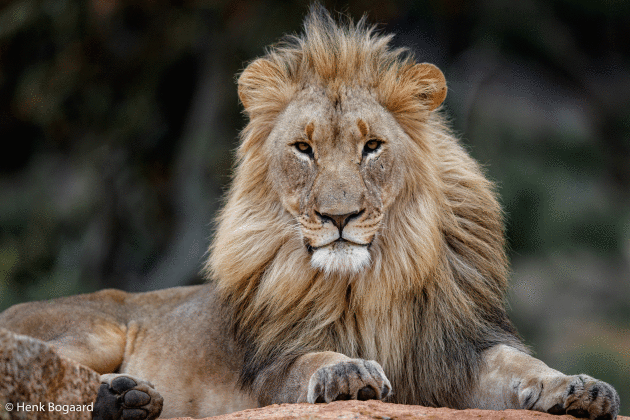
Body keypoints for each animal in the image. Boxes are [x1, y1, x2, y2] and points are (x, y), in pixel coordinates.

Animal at [0, 5, 624, 420]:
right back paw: (120, 397)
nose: (339, 217)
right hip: (94, 327)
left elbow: (520, 366)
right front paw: (346, 370)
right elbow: (311, 359)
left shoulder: (452, 352)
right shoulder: (272, 369)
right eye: (304, 148)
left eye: (372, 147)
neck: (369, 283)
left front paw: (578, 388)